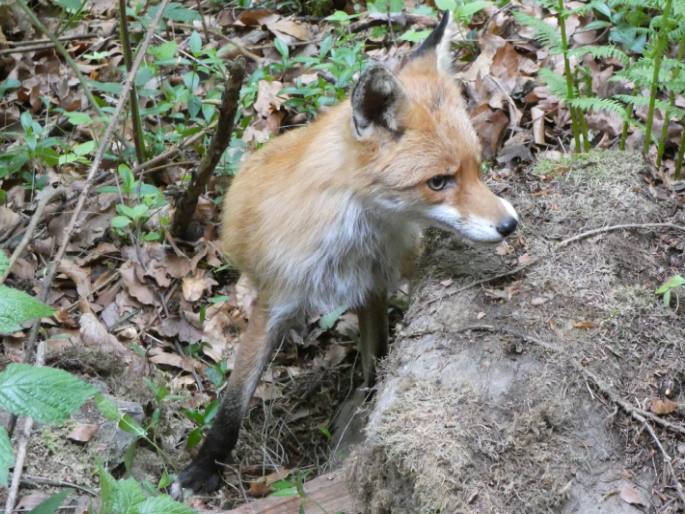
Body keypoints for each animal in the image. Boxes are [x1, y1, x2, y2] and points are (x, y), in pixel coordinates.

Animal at [176, 11, 520, 492]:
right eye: (438, 182)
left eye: (478, 167)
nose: (509, 224)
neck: (351, 243)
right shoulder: (276, 300)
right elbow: (234, 400)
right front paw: (204, 465)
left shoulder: (372, 285)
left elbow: (376, 360)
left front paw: (367, 404)